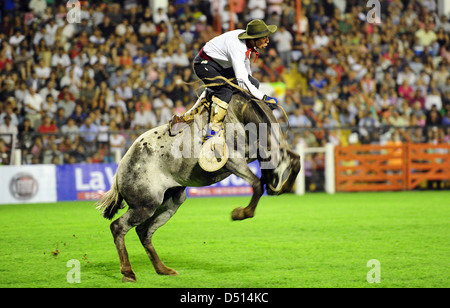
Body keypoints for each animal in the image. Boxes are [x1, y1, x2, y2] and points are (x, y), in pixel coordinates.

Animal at [96, 92, 300, 282]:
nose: (274, 188)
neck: (241, 115)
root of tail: (121, 167)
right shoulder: (233, 161)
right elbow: (257, 184)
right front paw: (241, 213)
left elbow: (296, 160)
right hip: (145, 206)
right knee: (118, 227)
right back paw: (128, 272)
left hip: (170, 203)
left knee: (144, 232)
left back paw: (163, 269)